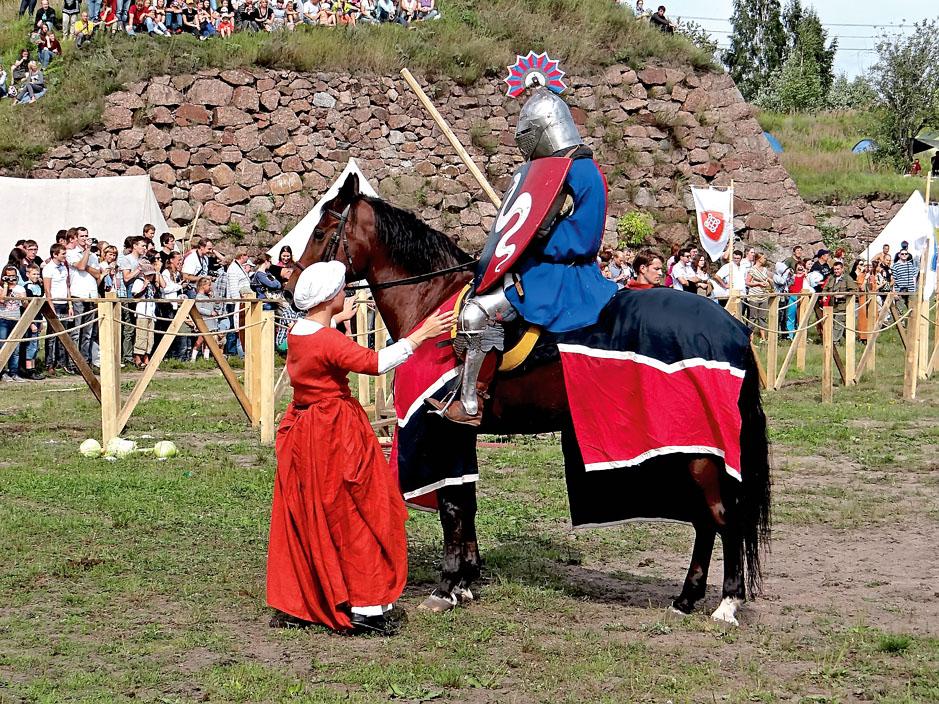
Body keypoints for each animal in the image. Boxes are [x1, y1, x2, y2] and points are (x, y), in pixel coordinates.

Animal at [283, 173, 771, 626]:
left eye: (323, 231)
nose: (290, 289)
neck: (430, 301)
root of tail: (733, 327)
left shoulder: (440, 428)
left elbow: (451, 505)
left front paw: (446, 586)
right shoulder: (461, 433)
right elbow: (465, 500)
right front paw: (466, 580)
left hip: (698, 448)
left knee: (721, 515)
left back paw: (726, 603)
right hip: (691, 448)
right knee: (706, 517)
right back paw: (686, 598)